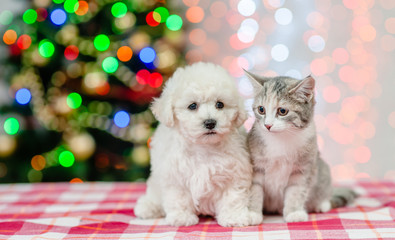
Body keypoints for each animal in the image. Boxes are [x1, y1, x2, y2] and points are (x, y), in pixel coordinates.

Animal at [134, 62, 262, 227]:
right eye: (192, 106)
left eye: (220, 104)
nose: (210, 122)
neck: (203, 146)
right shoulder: (174, 175)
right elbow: (179, 197)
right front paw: (181, 217)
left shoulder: (235, 172)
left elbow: (232, 197)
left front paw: (234, 217)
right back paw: (148, 207)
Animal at [246, 70, 358, 222]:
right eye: (261, 109)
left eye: (282, 111)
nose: (267, 125)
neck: (280, 139)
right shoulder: (255, 165)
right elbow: (255, 188)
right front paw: (253, 213)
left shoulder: (303, 167)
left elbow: (296, 190)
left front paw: (294, 212)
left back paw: (321, 204)